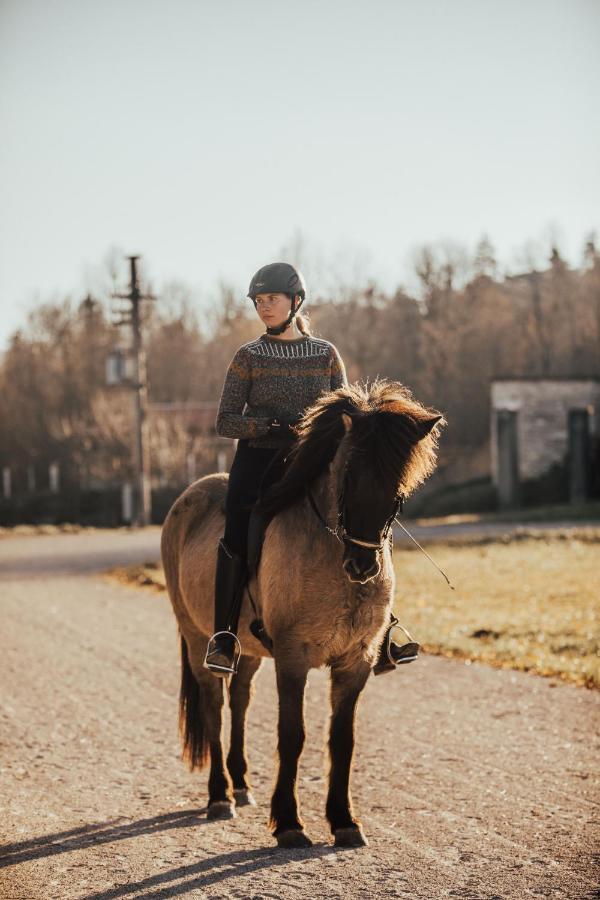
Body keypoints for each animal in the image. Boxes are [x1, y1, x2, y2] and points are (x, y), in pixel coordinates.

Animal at [162, 376, 442, 848]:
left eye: (399, 488)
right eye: (347, 475)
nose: (362, 566)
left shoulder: (355, 662)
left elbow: (342, 740)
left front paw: (344, 821)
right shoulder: (293, 659)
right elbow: (292, 736)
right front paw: (289, 823)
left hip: (250, 649)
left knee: (240, 699)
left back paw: (241, 786)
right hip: (198, 637)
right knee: (214, 704)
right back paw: (220, 795)